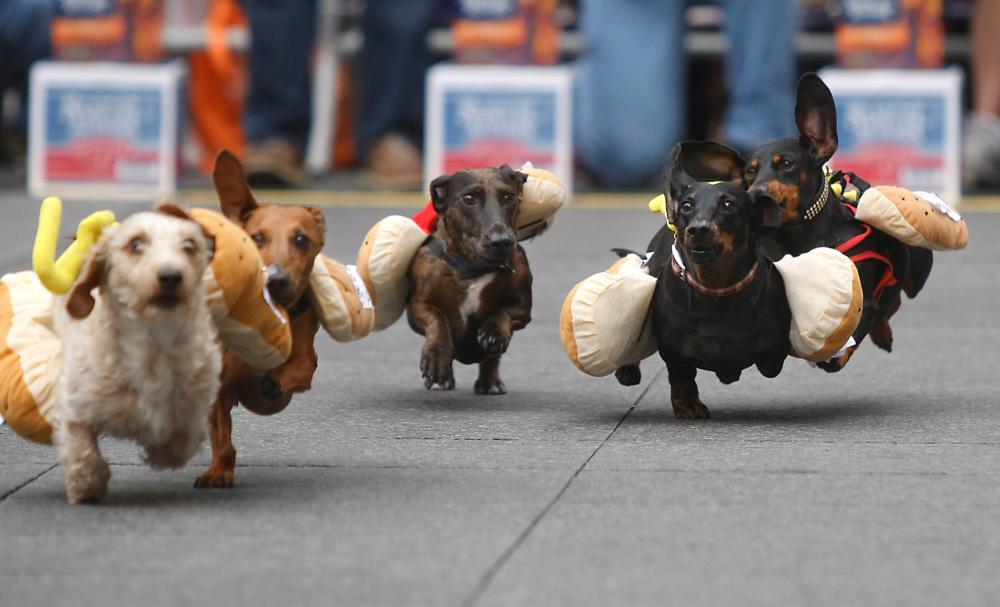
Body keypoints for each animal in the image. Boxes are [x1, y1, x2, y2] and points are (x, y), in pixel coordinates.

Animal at [53, 204, 222, 504]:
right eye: (135, 244)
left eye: (190, 245)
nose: (170, 276)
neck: (153, 346)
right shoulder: (77, 404)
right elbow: (82, 447)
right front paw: (87, 485)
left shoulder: (194, 408)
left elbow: (181, 440)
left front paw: (160, 451)